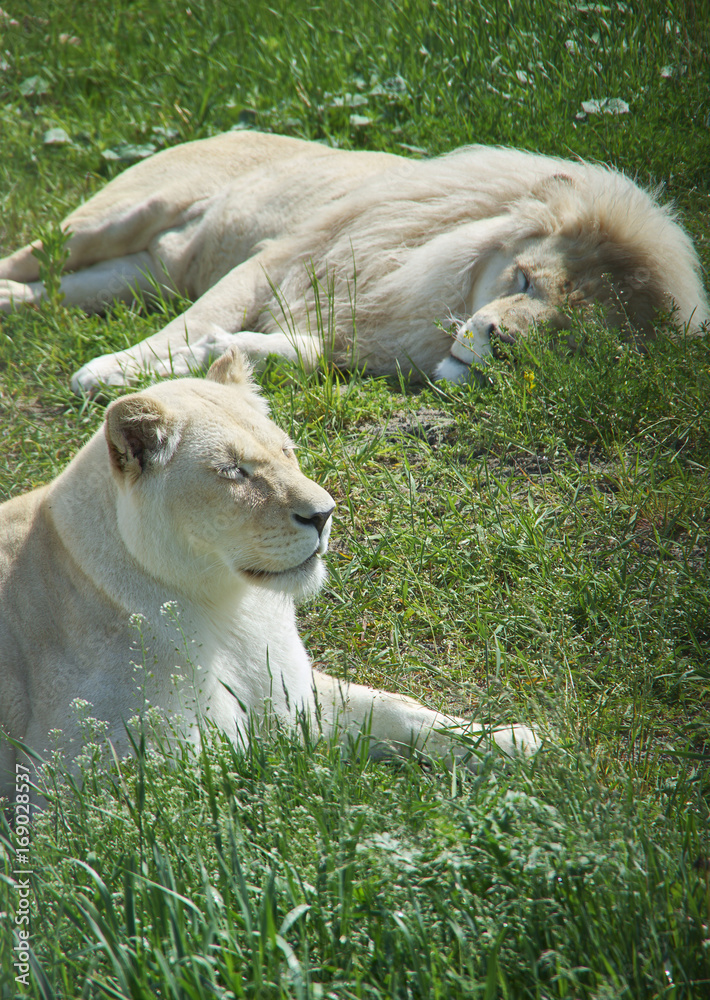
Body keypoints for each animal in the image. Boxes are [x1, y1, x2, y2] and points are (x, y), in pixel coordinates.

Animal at [0, 126, 708, 390]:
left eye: (570, 337)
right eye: (525, 279)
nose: (502, 342)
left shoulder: (353, 332)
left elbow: (292, 351)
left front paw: (226, 356)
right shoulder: (281, 260)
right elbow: (191, 324)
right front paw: (105, 374)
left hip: (137, 276)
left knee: (54, 291)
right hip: (108, 221)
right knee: (35, 257)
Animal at [0, 352, 540, 804]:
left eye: (286, 451)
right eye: (234, 471)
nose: (324, 514)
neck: (234, 610)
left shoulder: (297, 693)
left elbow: (396, 707)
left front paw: (510, 739)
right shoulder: (78, 783)